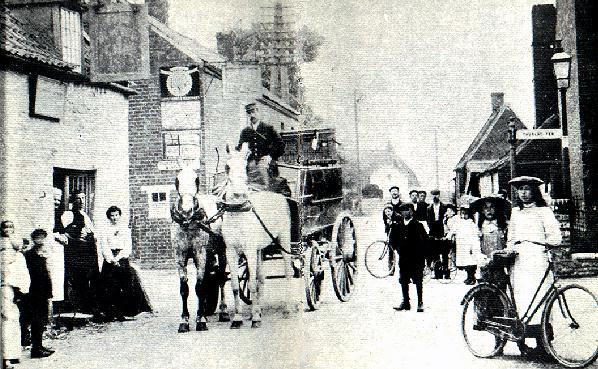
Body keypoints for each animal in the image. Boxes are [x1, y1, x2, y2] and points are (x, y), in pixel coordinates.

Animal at [173, 163, 232, 330]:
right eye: (177, 179)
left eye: (197, 179)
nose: (186, 211)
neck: (189, 224)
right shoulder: (180, 256)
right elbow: (184, 288)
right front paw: (184, 321)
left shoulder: (200, 254)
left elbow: (199, 286)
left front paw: (201, 320)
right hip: (209, 254)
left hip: (222, 251)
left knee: (220, 278)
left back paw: (223, 312)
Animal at [223, 144, 292, 328]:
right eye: (227, 167)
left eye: (245, 167)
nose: (239, 194)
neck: (238, 212)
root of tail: (278, 196)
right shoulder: (231, 251)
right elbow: (235, 285)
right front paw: (237, 318)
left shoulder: (249, 250)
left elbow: (252, 284)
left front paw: (255, 319)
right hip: (260, 250)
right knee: (261, 277)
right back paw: (259, 309)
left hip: (285, 241)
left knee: (288, 273)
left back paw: (288, 309)